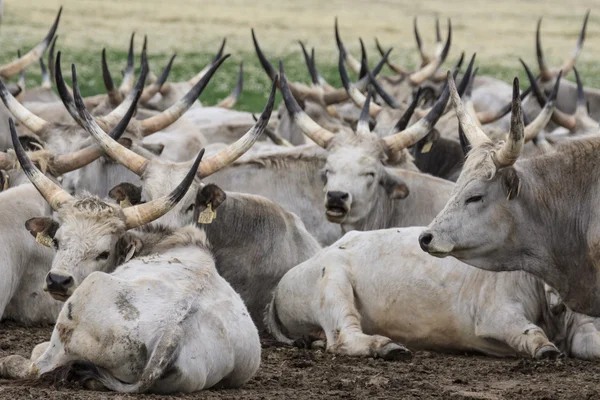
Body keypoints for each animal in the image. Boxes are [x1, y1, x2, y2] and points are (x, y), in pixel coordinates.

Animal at [268, 227, 600, 360]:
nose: (561, 300)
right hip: (334, 281)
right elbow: (529, 332)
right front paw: (545, 349)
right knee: (342, 337)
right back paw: (386, 346)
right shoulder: (495, 314)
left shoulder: (582, 326)